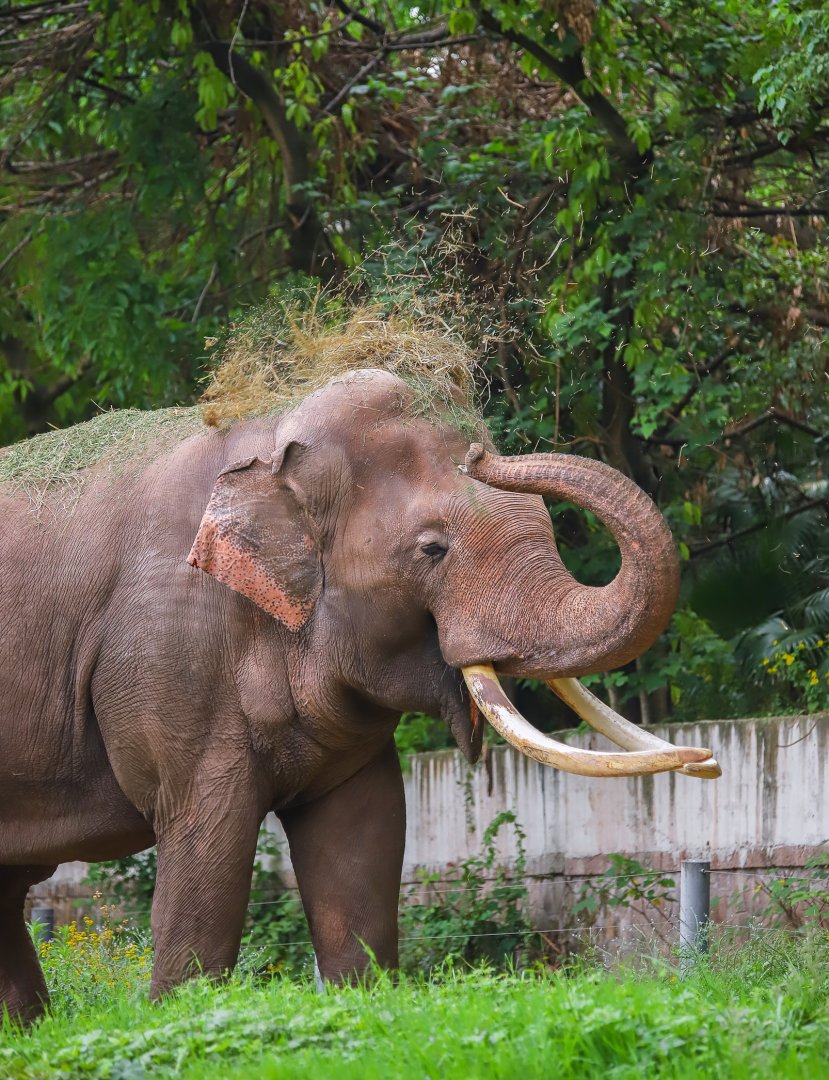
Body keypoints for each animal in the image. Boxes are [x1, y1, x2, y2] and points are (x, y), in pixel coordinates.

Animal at [0, 365, 718, 1021]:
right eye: (432, 549)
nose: (481, 455)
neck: (270, 438)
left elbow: (362, 841)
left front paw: (362, 1003)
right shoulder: (169, 652)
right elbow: (205, 841)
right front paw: (182, 1014)